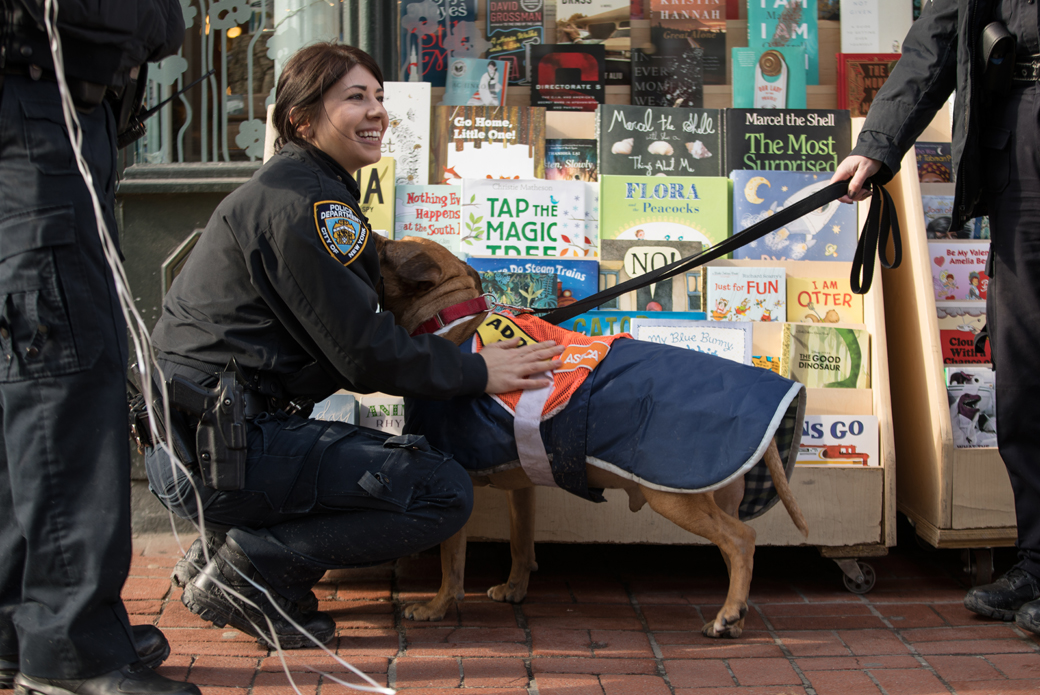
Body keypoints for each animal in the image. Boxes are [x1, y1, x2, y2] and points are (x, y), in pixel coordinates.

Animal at [378, 236, 807, 636]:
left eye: (382, 251)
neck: (450, 318)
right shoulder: (524, 482)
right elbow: (521, 542)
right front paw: (515, 589)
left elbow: (451, 561)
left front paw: (436, 607)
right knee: (735, 553)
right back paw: (736, 614)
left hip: (675, 498)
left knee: (742, 540)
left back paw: (728, 614)